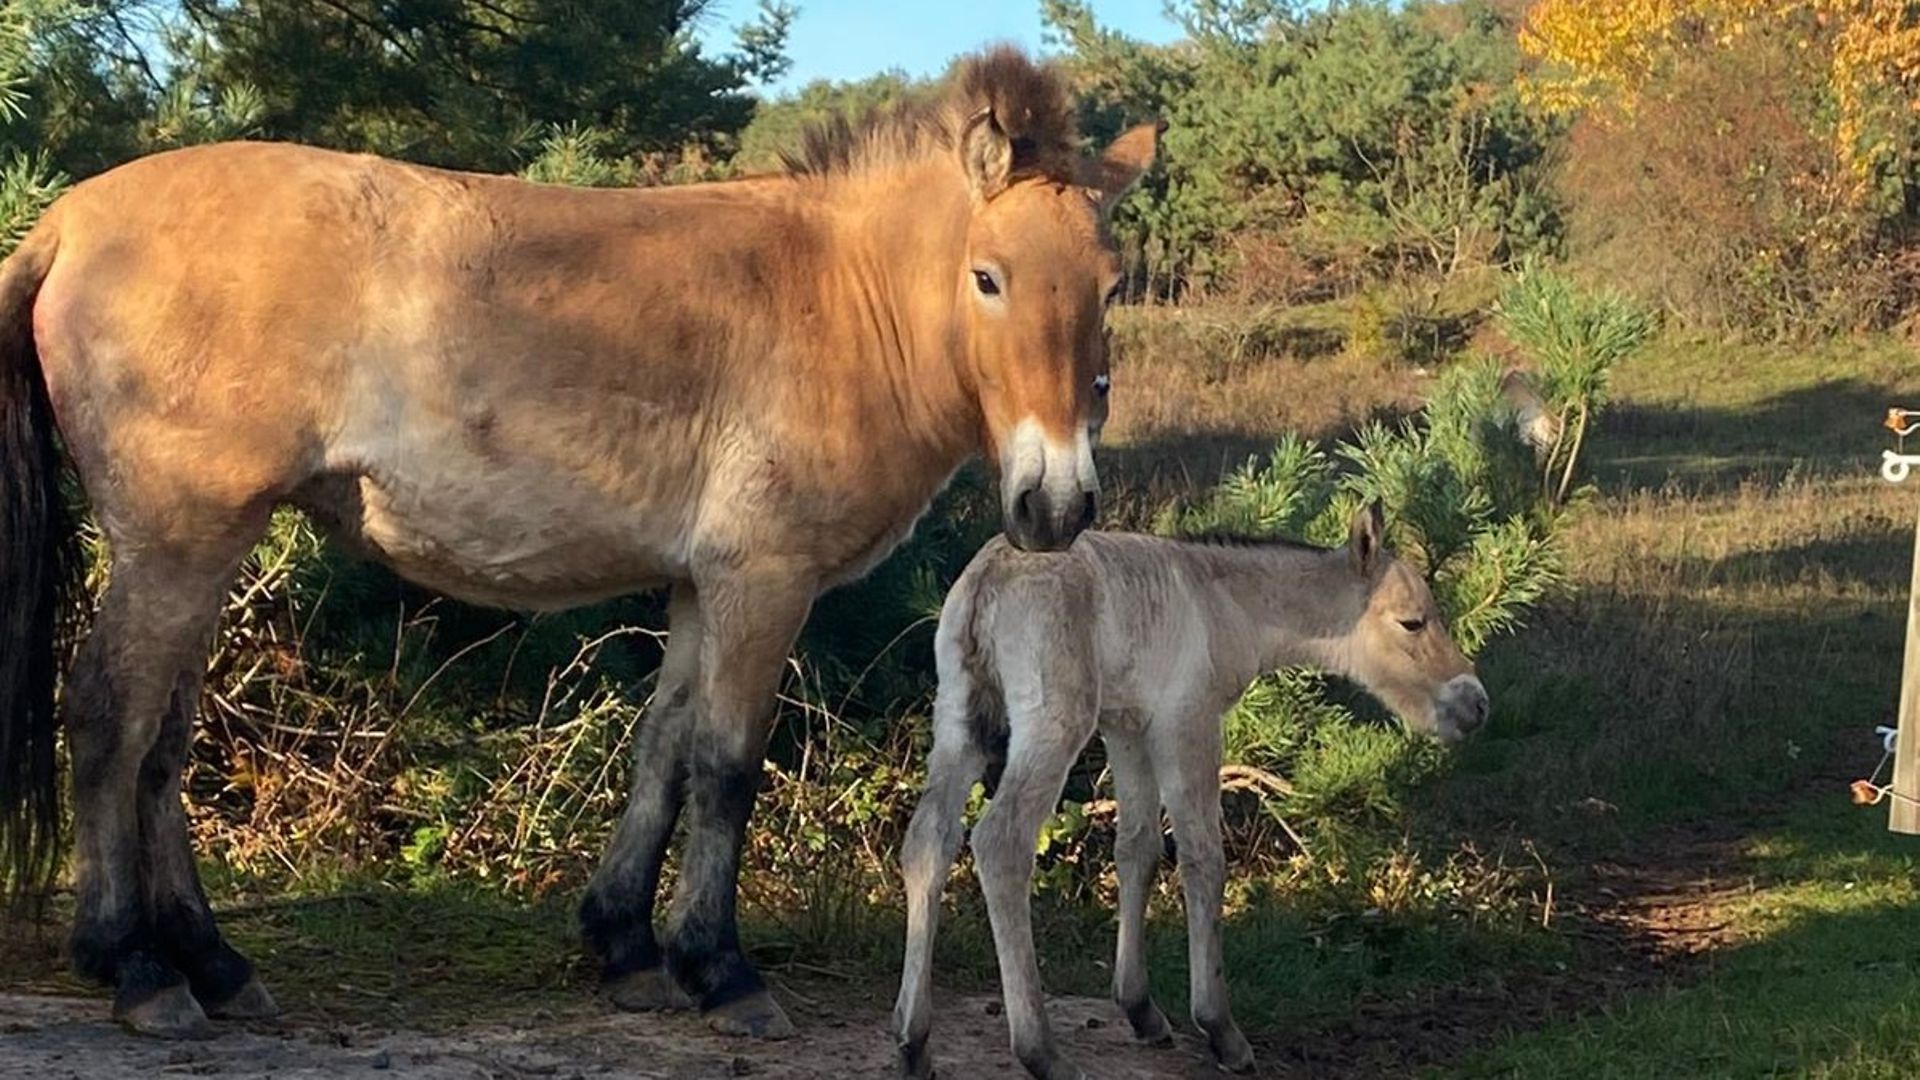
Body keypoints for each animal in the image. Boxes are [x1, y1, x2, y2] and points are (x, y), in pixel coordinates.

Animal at [0, 47, 1158, 1040]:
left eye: (1110, 285)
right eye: (989, 277)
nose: (1057, 504)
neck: (836, 298)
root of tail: (68, 222)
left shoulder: (700, 584)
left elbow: (663, 750)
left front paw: (630, 950)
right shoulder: (764, 581)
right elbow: (727, 766)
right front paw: (722, 970)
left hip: (207, 548)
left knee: (163, 744)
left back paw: (214, 964)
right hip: (175, 544)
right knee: (109, 718)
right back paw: (136, 969)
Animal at [892, 504, 1489, 1079]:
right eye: (1412, 622)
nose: (1475, 704)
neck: (1222, 600)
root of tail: (987, 581)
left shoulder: (1128, 727)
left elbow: (1137, 848)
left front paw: (1140, 1009)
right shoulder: (1189, 722)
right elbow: (1203, 860)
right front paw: (1221, 1030)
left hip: (960, 720)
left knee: (928, 841)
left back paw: (913, 1041)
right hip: (1052, 727)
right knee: (1000, 844)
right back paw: (1041, 1052)